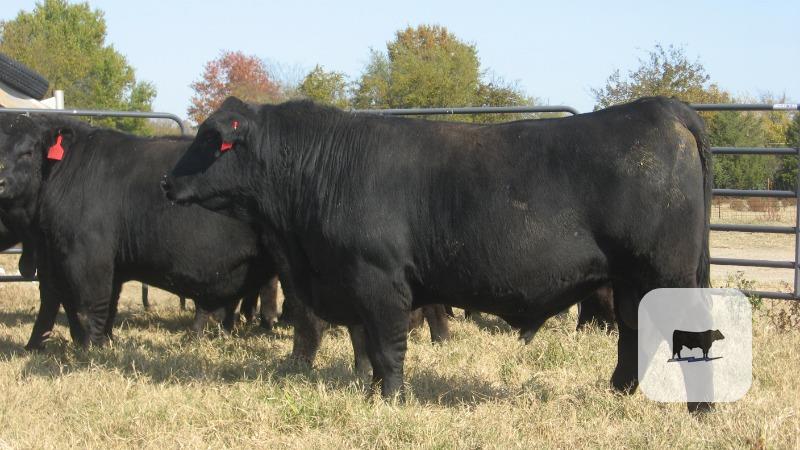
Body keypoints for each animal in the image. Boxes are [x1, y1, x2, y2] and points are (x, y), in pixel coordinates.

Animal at [162, 96, 711, 411]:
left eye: (212, 138)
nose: (166, 182)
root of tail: (659, 107)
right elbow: (367, 345)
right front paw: (370, 393)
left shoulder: (379, 278)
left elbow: (387, 346)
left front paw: (390, 401)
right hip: (632, 277)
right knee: (633, 330)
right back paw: (619, 393)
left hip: (667, 270)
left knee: (687, 330)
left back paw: (699, 408)